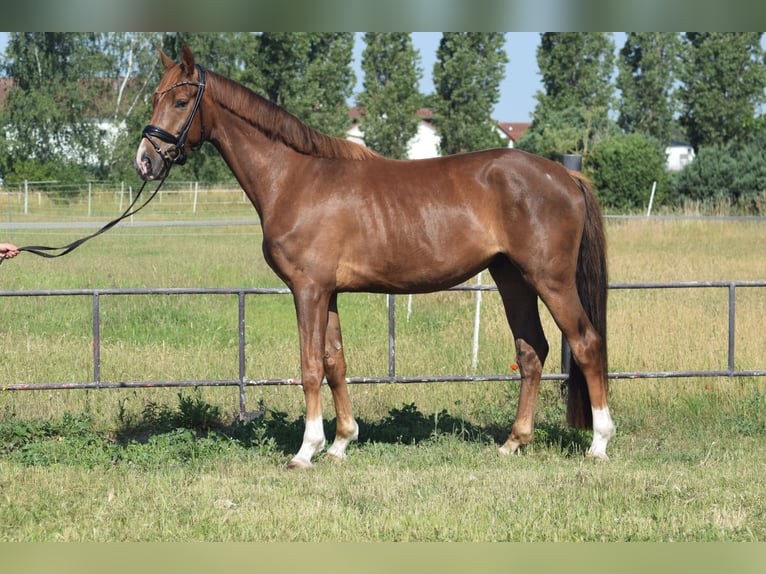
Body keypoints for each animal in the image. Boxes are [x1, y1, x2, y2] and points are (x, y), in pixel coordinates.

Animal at [136, 46, 615, 468]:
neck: (295, 178)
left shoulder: (307, 289)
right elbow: (335, 363)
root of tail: (564, 175)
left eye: (181, 101)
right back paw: (513, 442)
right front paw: (341, 443)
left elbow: (310, 366)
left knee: (586, 344)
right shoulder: (327, 292)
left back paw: (599, 443)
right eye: (155, 97)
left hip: (550, 280)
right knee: (532, 351)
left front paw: (306, 451)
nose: (145, 161)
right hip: (512, 278)